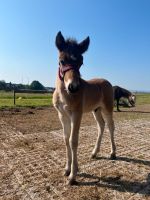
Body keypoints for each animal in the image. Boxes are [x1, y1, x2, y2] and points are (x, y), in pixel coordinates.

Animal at [52, 31, 116, 186]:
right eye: (61, 61)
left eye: (81, 62)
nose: (73, 87)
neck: (64, 94)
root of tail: (107, 81)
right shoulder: (62, 115)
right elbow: (66, 139)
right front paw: (67, 169)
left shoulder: (77, 113)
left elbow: (73, 141)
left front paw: (73, 175)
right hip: (96, 110)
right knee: (101, 126)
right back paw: (94, 152)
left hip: (107, 108)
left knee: (110, 126)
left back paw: (113, 153)